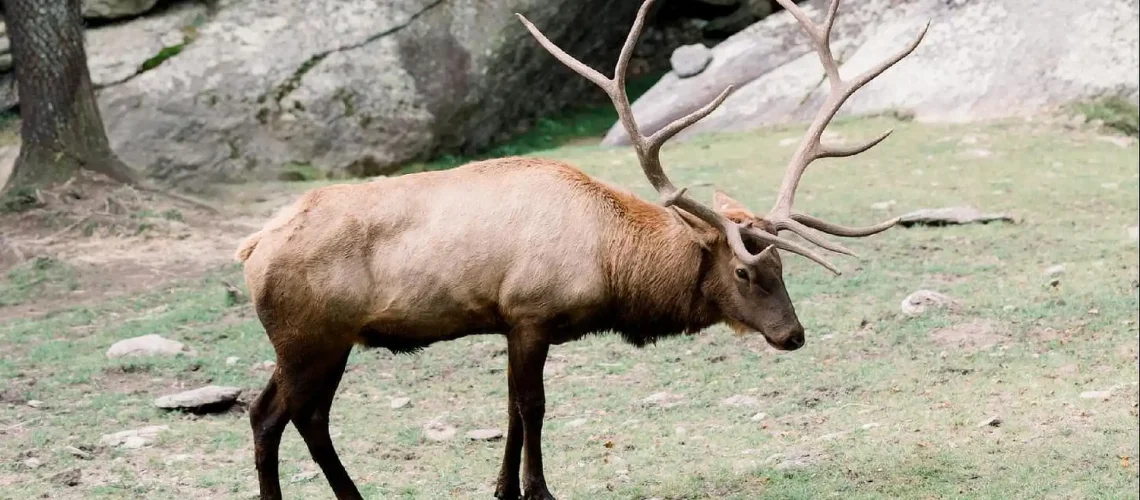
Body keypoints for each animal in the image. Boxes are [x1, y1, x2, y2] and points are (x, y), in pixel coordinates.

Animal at [235, 1, 930, 498]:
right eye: (742, 270)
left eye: (782, 263)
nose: (793, 335)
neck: (611, 269)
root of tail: (251, 246)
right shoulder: (530, 313)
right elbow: (533, 409)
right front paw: (538, 491)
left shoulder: (509, 323)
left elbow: (511, 412)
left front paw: (503, 490)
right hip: (312, 336)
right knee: (293, 417)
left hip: (312, 340)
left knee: (277, 413)